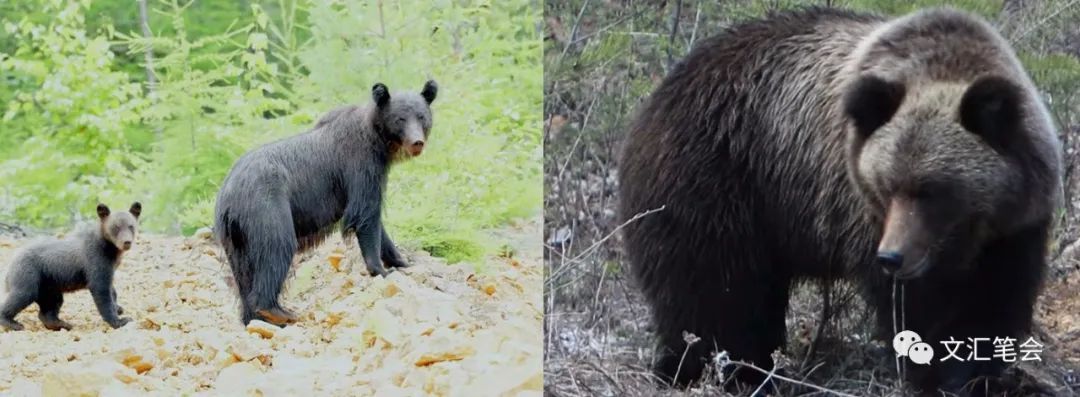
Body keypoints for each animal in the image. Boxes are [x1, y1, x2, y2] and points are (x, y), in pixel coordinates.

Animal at [0, 202, 141, 330]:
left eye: (131, 226)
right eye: (116, 227)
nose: (126, 242)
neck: (110, 249)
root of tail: (11, 262)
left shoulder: (110, 265)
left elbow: (111, 288)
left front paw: (119, 308)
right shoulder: (96, 259)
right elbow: (101, 289)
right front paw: (121, 320)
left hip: (48, 283)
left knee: (52, 303)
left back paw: (62, 324)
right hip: (28, 273)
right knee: (22, 294)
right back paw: (13, 323)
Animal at [217, 80, 436, 325]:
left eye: (421, 116)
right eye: (400, 118)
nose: (417, 142)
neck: (379, 142)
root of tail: (229, 193)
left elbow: (377, 224)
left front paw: (401, 260)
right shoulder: (360, 166)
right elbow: (365, 215)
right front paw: (379, 269)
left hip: (235, 237)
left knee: (243, 273)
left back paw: (253, 317)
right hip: (266, 205)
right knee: (277, 246)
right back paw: (277, 311)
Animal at [617, 6, 1062, 397]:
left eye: (931, 189)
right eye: (886, 185)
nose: (893, 257)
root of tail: (661, 91)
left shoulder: (1014, 229)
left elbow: (995, 300)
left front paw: (988, 374)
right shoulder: (860, 212)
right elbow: (918, 308)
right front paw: (942, 373)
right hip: (719, 180)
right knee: (715, 291)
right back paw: (711, 371)